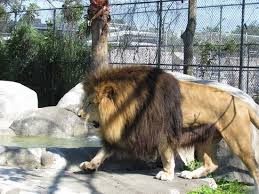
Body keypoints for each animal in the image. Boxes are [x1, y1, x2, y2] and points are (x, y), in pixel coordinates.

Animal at [78, 65, 259, 191]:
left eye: (90, 103)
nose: (79, 115)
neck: (128, 107)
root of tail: (244, 104)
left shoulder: (162, 132)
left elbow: (167, 156)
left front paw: (167, 174)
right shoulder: (130, 129)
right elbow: (104, 151)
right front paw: (91, 164)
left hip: (238, 142)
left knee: (255, 169)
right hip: (206, 139)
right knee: (212, 164)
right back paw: (190, 174)